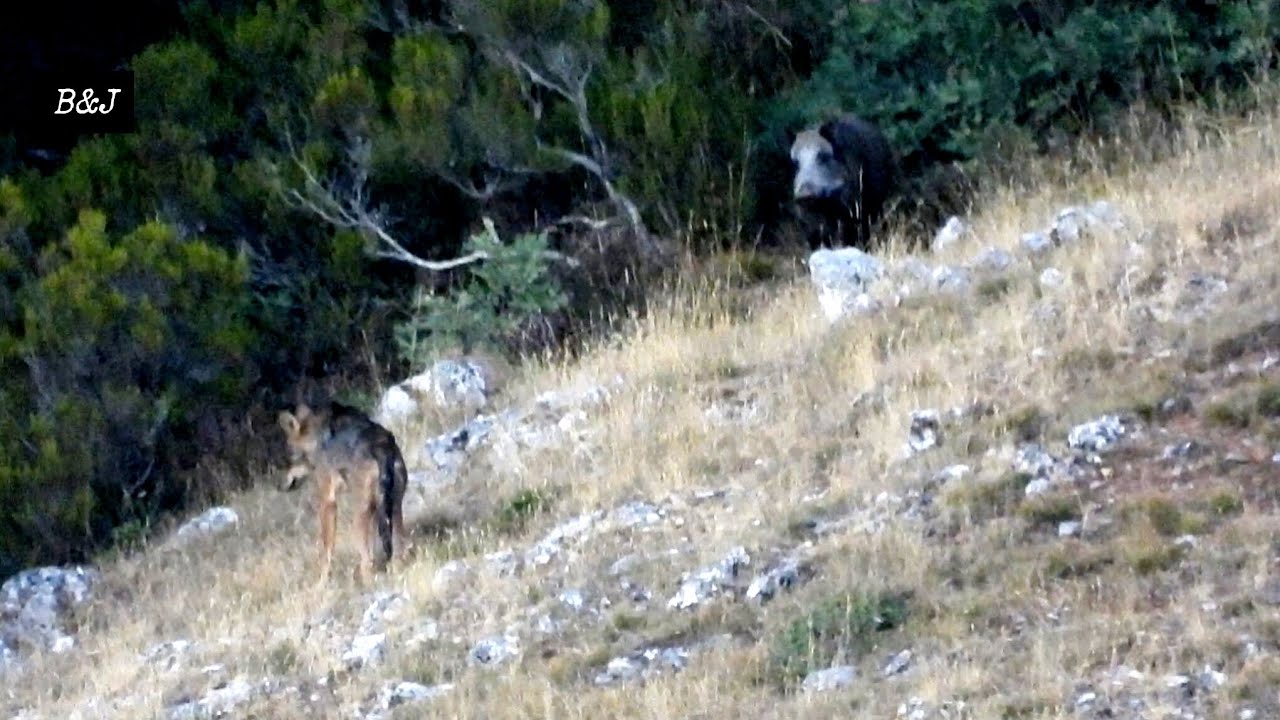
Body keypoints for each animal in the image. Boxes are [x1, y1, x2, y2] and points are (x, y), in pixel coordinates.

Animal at [277, 401, 410, 586]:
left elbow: (326, 549)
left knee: (367, 563)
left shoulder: (327, 502)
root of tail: (381, 445)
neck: (316, 440)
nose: (279, 485)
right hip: (394, 509)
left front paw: (321, 583)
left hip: (358, 520)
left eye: (288, 458)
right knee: (397, 552)